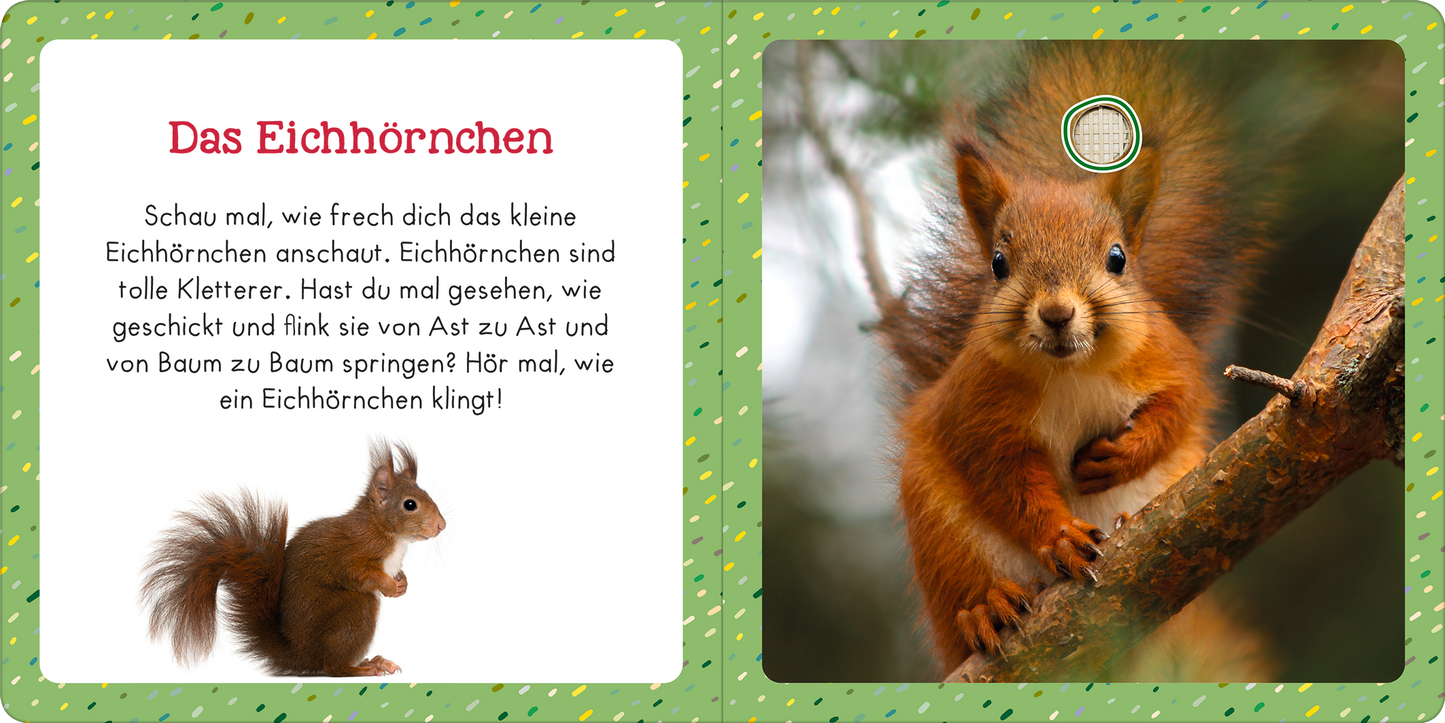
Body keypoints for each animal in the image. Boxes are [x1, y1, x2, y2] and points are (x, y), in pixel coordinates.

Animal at [139, 440, 446, 676]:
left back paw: (376, 661)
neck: (387, 532)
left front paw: (402, 583)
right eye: (410, 505)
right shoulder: (353, 550)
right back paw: (363, 669)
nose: (442, 526)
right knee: (333, 667)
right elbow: (355, 573)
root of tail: (300, 656)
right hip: (356, 610)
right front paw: (390, 586)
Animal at [876, 42, 1323, 678]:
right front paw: (1061, 536)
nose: (1057, 313)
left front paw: (1120, 455)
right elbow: (1010, 483)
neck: (1072, 371)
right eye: (998, 264)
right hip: (942, 534)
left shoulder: (1170, 358)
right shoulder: (978, 416)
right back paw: (986, 610)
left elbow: (1178, 409)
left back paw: (1129, 524)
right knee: (964, 598)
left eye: (1117, 258)